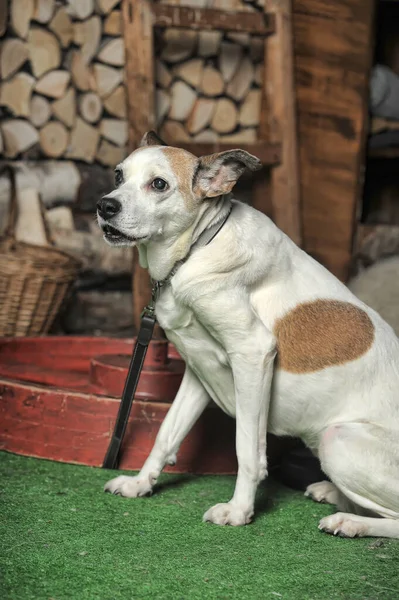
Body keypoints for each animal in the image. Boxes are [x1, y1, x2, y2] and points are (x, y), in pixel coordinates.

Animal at [97, 132, 399, 540]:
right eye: (118, 175)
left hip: (338, 440)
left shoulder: (253, 355)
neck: (197, 251)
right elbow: (166, 432)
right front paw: (139, 484)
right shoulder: (199, 370)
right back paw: (332, 494)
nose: (104, 206)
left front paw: (239, 511)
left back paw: (349, 521)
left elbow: (248, 451)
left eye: (158, 184)